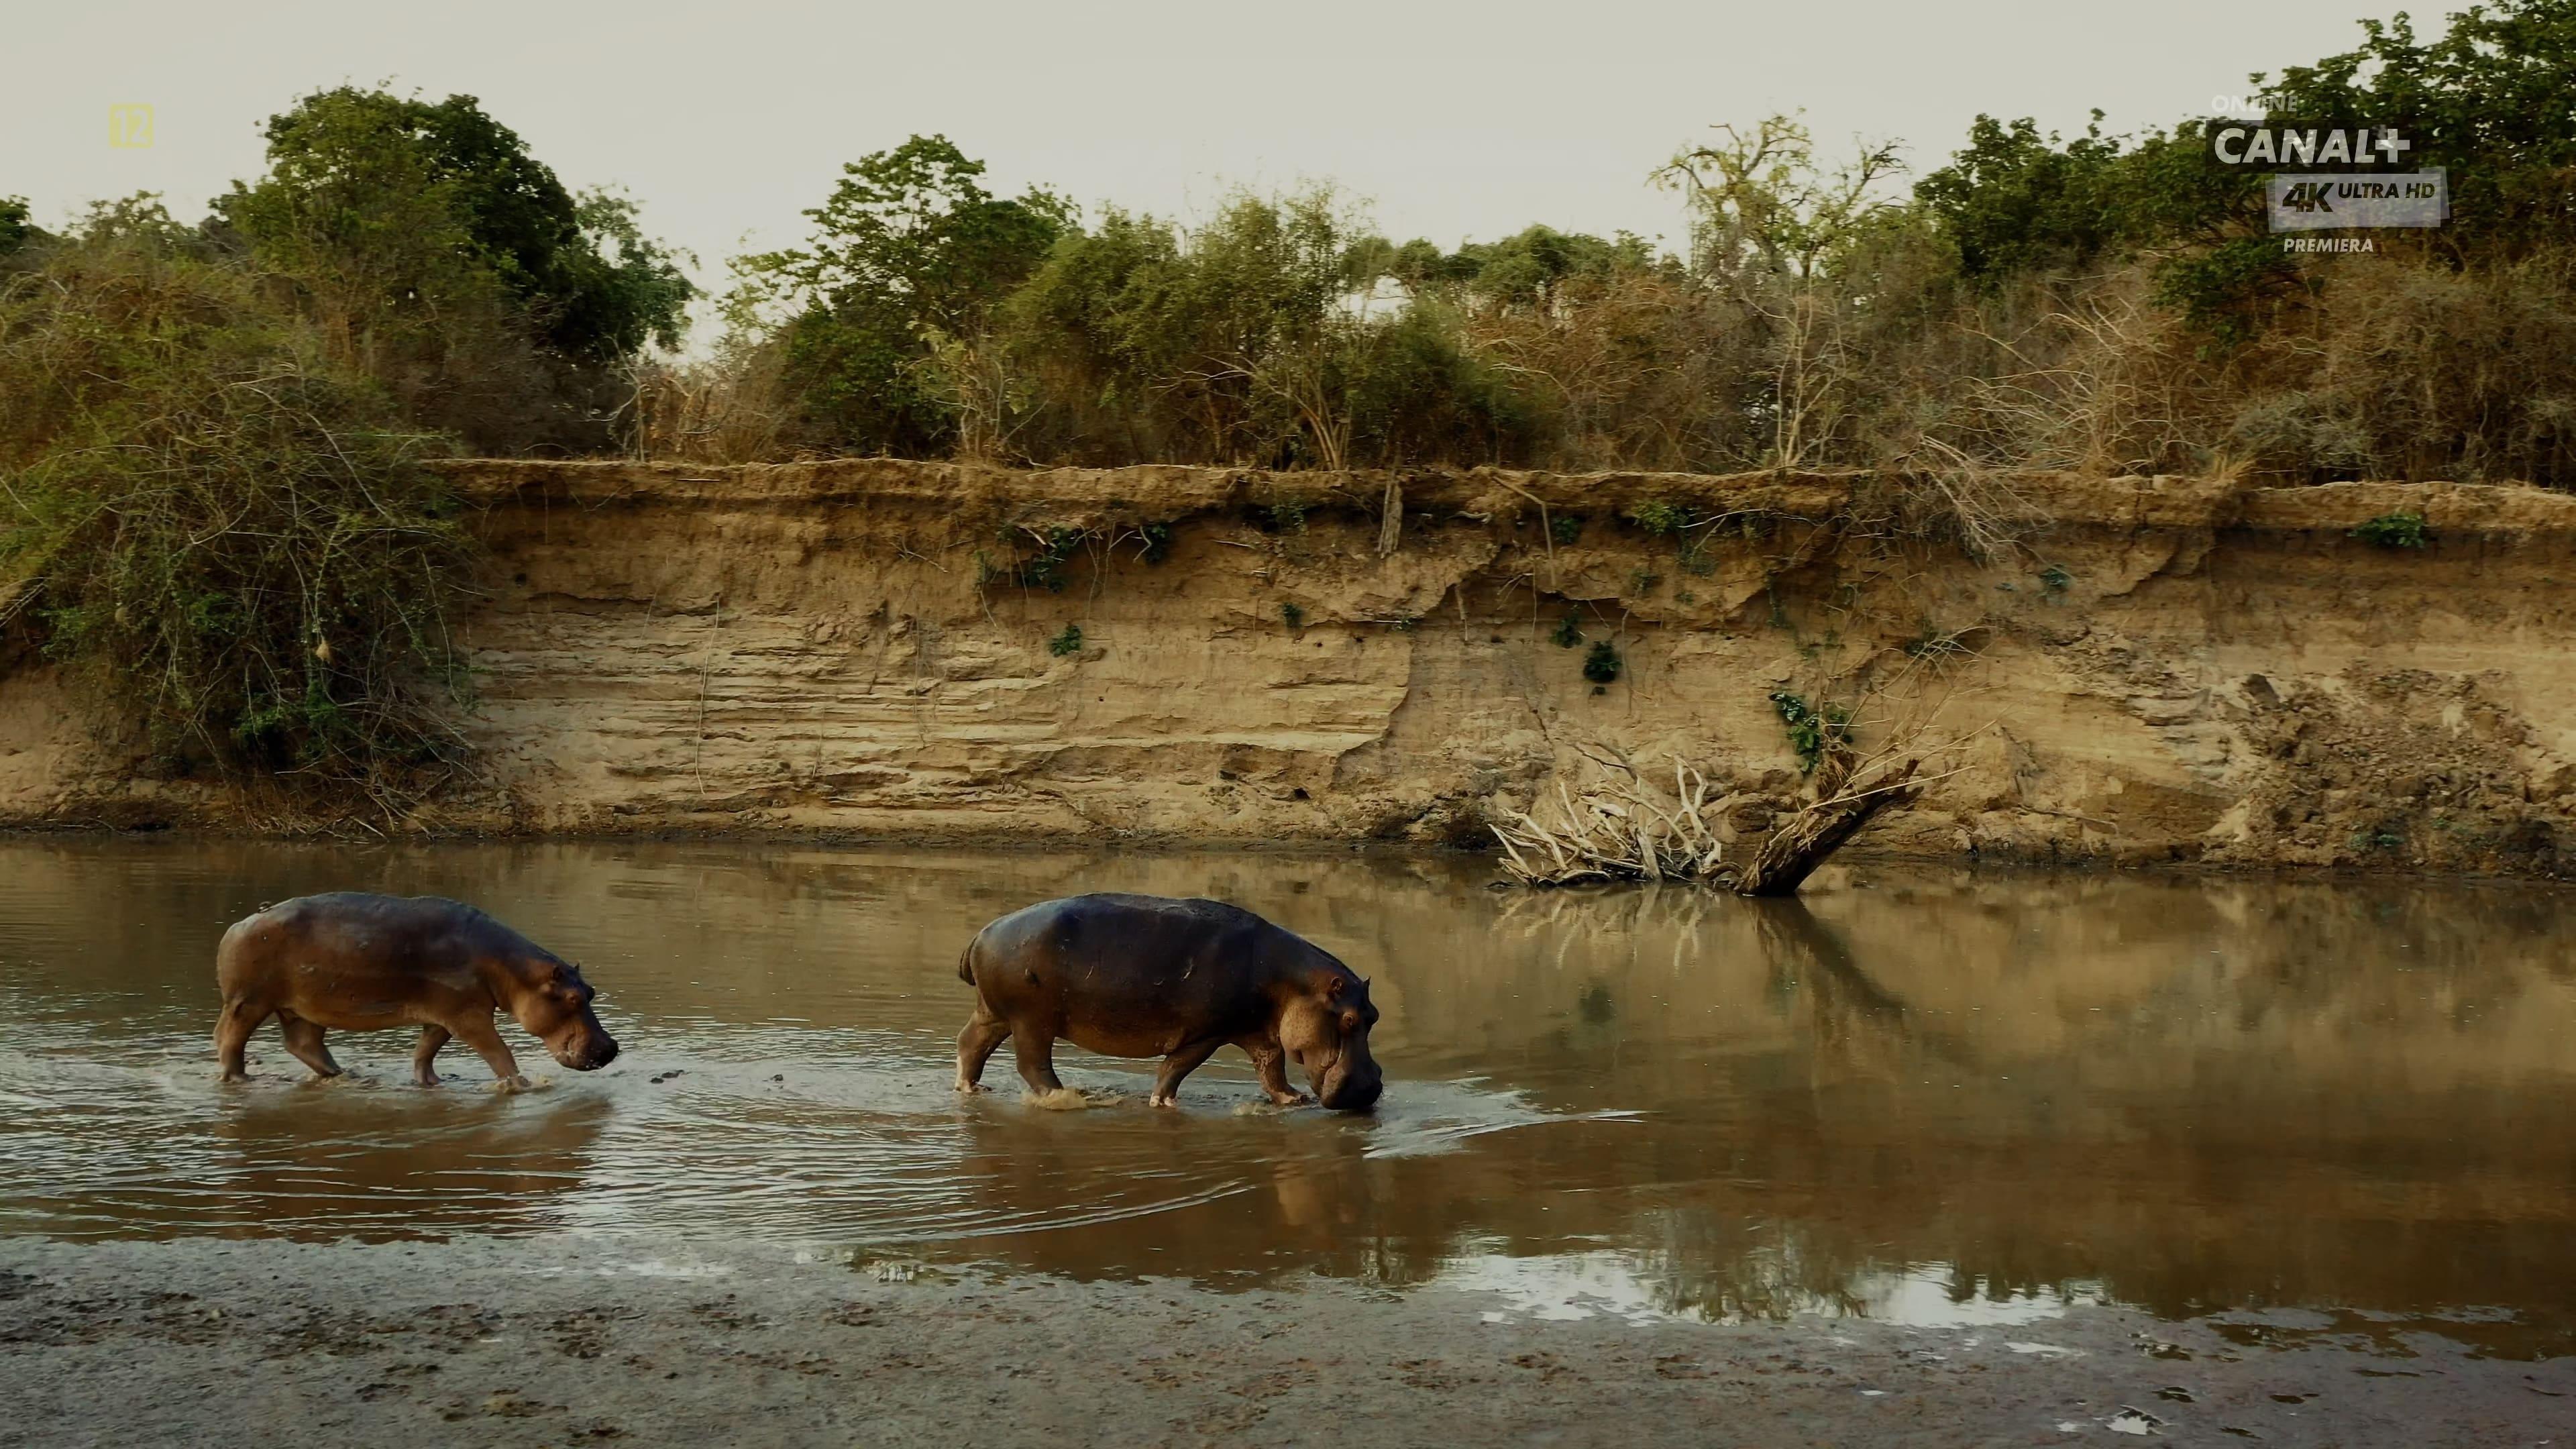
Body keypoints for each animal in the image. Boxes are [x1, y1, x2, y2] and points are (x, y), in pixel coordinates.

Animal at [211, 892, 612, 1083]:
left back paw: (346, 1076)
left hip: (304, 1007)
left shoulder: (443, 1017)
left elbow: (425, 1052)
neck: (512, 968)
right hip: (249, 1001)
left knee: (303, 1043)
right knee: (230, 1039)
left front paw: (431, 1083)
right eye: (572, 998)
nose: (611, 1048)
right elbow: (498, 1053)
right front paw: (521, 1085)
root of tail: (237, 924)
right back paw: (240, 1078)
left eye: (591, 992)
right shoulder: (468, 1017)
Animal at [953, 887, 1391, 1108]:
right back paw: (1066, 1096)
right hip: (1032, 1020)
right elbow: (1177, 1067)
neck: (1293, 981)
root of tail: (983, 932)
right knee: (1033, 1065)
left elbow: (1271, 1069)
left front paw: (1293, 1099)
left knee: (971, 1044)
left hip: (995, 1013)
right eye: (1349, 1019)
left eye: (1374, 1014)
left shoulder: (1258, 1031)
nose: (1371, 1088)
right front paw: (1163, 1104)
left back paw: (972, 1090)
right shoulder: (1207, 1033)